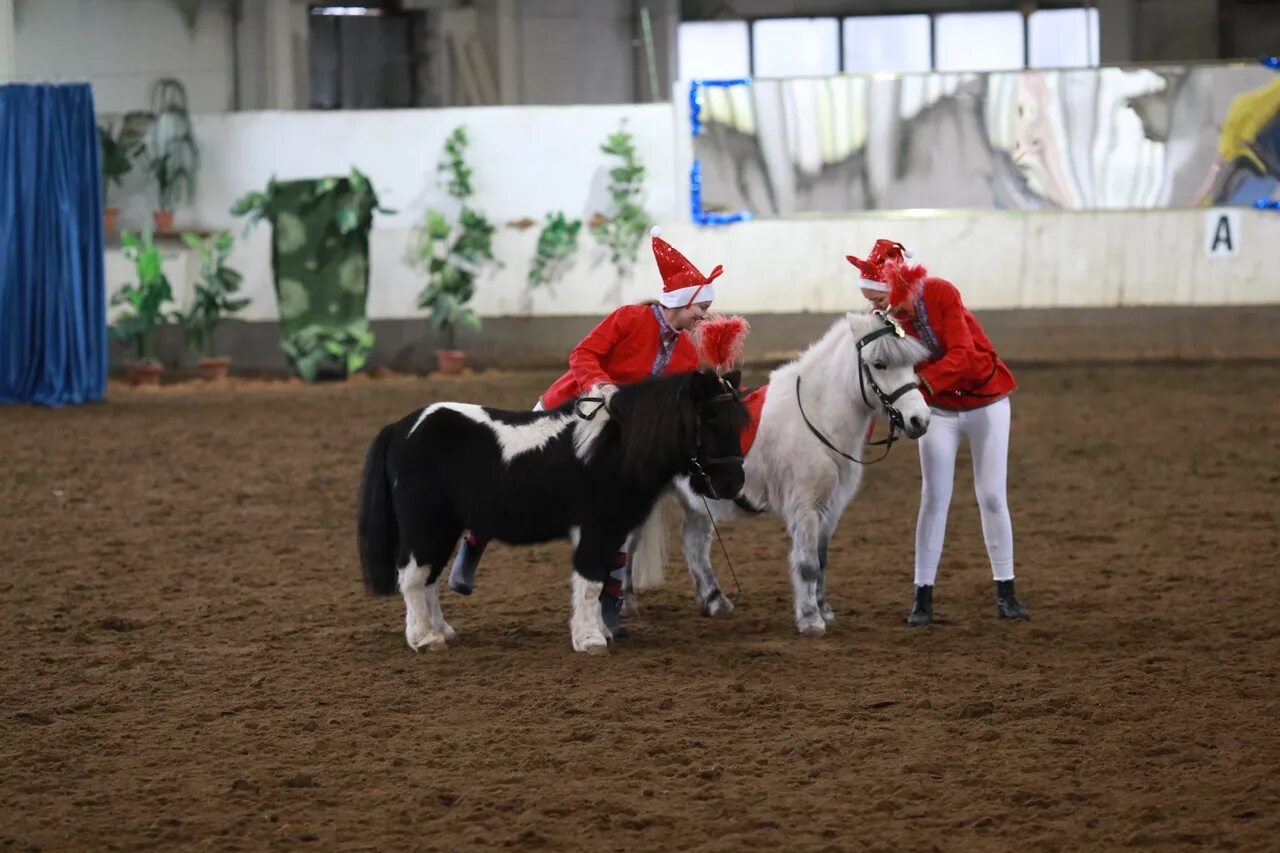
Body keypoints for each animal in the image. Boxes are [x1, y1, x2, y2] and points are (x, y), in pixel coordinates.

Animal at [355, 366, 747, 650]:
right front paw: (590, 639)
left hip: (443, 526)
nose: (733, 484)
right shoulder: (596, 529)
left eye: (739, 419)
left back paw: (442, 630)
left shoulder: (613, 532)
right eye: (710, 418)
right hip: (425, 524)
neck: (615, 448)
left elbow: (603, 583)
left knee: (429, 578)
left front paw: (600, 631)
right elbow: (590, 582)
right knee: (412, 576)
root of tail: (402, 427)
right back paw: (424, 638)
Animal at [627, 308, 931, 635]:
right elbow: (808, 564)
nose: (920, 420)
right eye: (879, 364)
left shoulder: (831, 508)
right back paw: (626, 604)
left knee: (693, 543)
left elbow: (821, 560)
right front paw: (811, 619)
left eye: (910, 364)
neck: (816, 417)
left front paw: (823, 610)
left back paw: (714, 600)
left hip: (700, 500)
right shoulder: (805, 507)